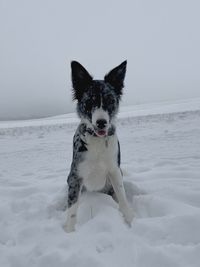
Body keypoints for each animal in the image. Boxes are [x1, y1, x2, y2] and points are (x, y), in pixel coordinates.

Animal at [65, 60, 134, 232]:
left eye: (110, 101)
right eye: (89, 102)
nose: (101, 122)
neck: (97, 141)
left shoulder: (115, 170)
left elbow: (123, 198)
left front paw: (131, 220)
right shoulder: (75, 175)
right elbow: (72, 209)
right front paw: (69, 231)